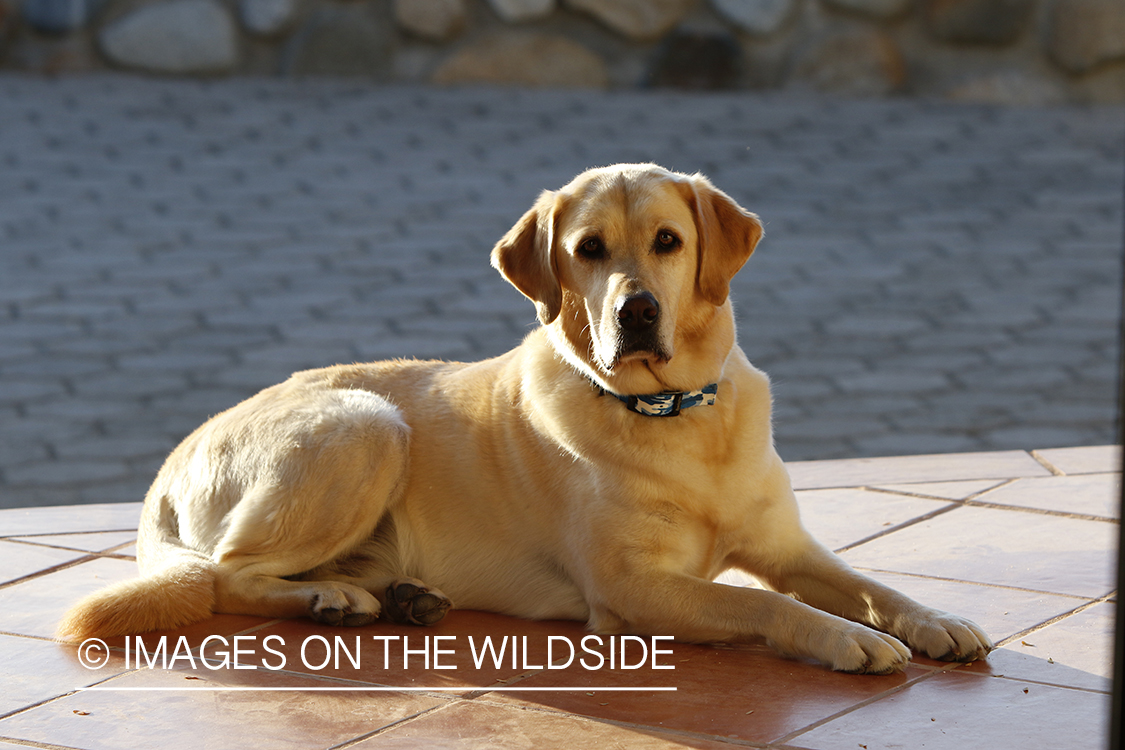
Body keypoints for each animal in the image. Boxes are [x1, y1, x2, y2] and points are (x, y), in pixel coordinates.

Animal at [61, 163, 994, 674]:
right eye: (588, 251)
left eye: (667, 241)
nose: (635, 313)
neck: (670, 413)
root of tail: (169, 464)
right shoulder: (632, 590)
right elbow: (766, 608)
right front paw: (843, 641)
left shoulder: (787, 547)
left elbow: (871, 587)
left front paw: (933, 623)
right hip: (366, 424)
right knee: (224, 574)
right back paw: (332, 599)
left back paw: (396, 596)